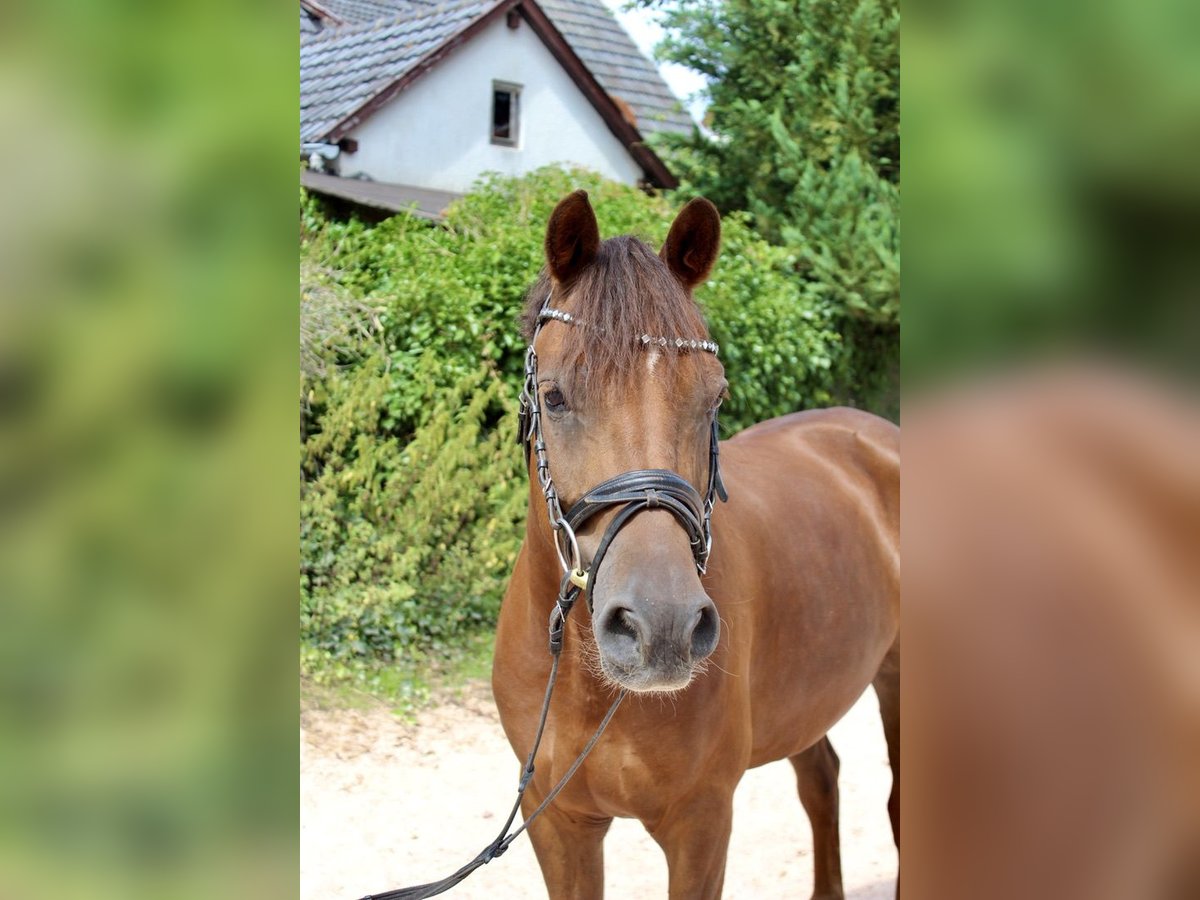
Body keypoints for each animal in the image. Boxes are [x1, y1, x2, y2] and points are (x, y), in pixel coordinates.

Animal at [489, 192, 902, 900]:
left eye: (715, 396)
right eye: (555, 396)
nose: (663, 627)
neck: (590, 684)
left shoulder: (700, 824)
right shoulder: (559, 825)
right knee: (821, 780)